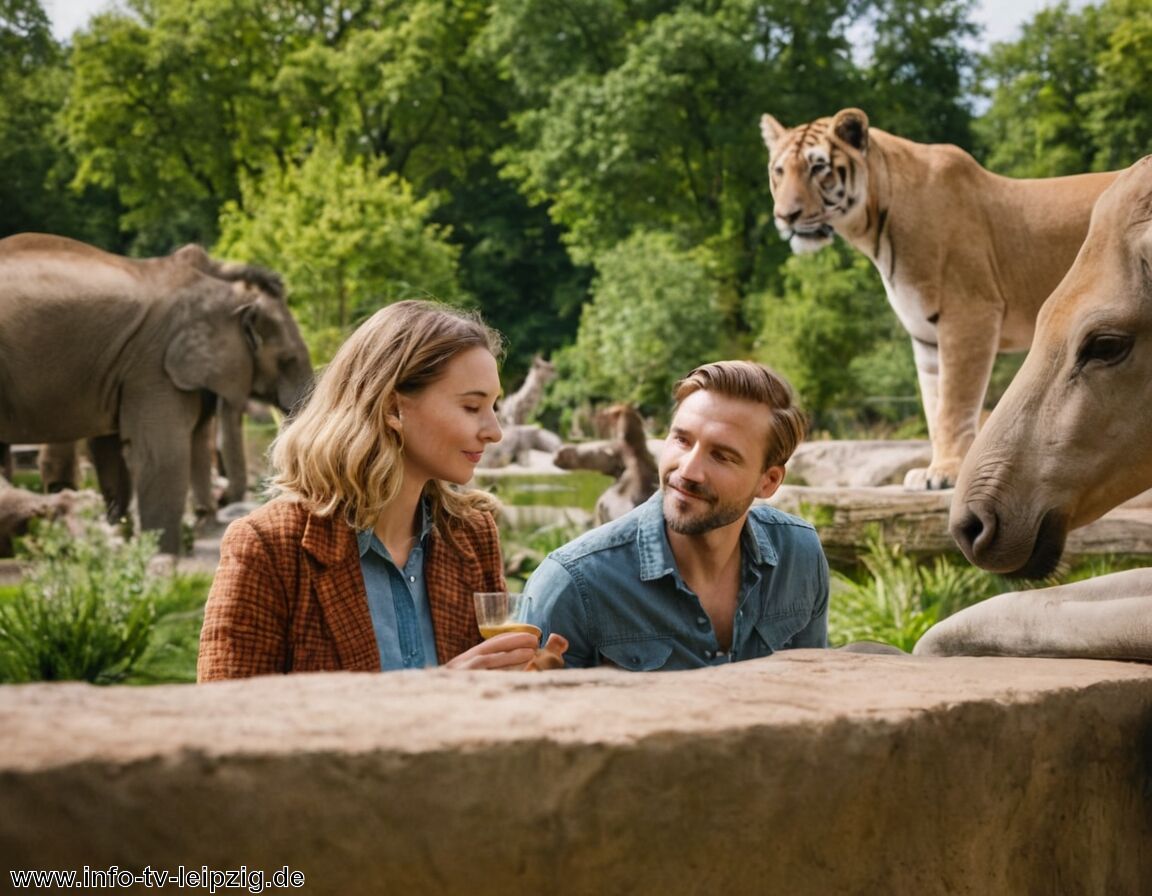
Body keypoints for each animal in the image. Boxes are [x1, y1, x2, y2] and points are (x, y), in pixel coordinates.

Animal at [0, 232, 313, 550]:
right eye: (287, 359)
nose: (223, 500)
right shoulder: (154, 364)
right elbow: (162, 451)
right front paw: (157, 550)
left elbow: (124, 448)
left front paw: (127, 537)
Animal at [760, 109, 1119, 488]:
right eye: (779, 171)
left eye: (818, 167)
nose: (785, 216)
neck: (874, 228)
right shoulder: (926, 334)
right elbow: (934, 404)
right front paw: (933, 470)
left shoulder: (969, 315)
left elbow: (954, 405)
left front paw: (945, 473)